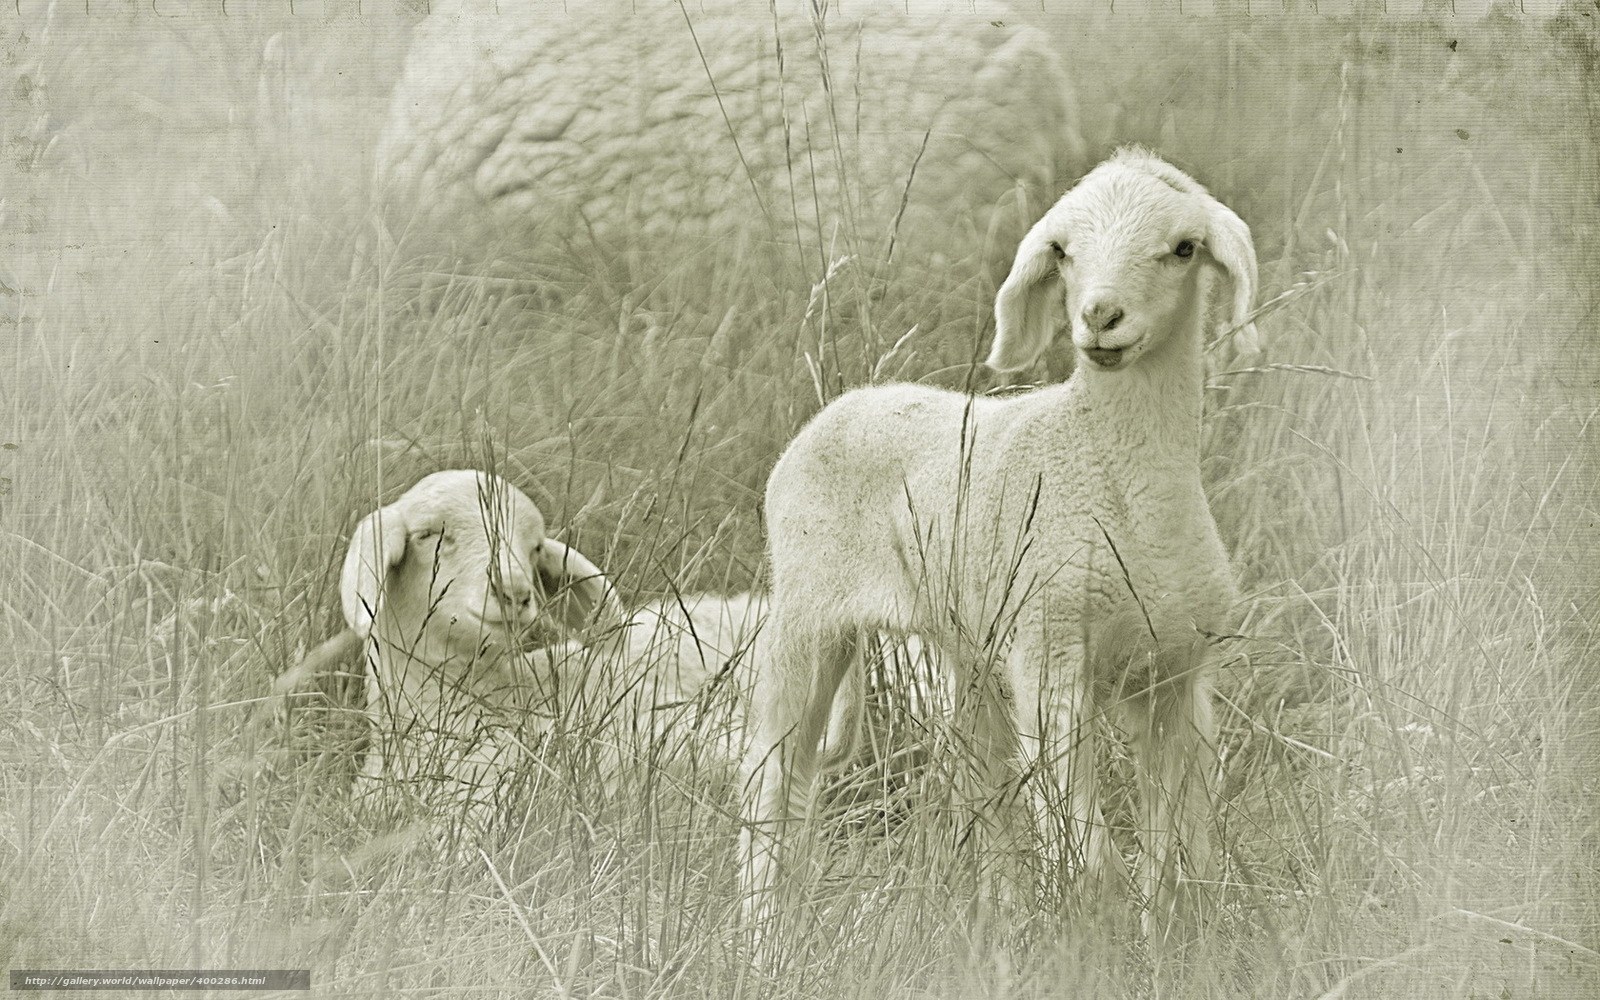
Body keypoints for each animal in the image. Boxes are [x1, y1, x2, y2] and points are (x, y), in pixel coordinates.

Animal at [740, 148, 1256, 928]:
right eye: (1063, 251)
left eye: (1183, 248)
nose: (1099, 316)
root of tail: (846, 402)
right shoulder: (1051, 655)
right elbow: (1091, 850)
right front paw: (1097, 929)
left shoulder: (1177, 673)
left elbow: (1181, 847)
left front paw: (1174, 934)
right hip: (807, 615)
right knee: (776, 780)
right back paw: (762, 929)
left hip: (969, 648)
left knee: (976, 782)